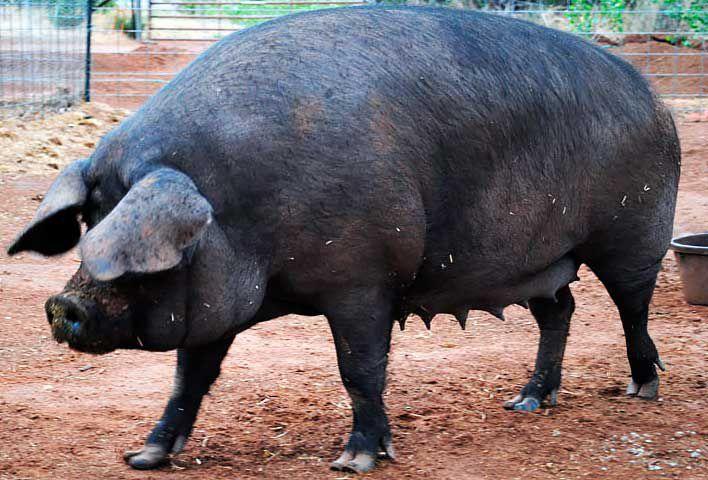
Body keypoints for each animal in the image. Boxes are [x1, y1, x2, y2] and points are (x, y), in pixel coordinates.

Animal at [7, 5, 680, 474]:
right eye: (91, 221)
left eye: (131, 245)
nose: (62, 304)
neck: (245, 211)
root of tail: (655, 97)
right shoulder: (217, 303)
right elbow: (189, 378)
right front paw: (144, 457)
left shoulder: (364, 280)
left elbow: (360, 369)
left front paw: (354, 462)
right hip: (540, 260)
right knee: (560, 310)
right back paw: (526, 403)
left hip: (635, 230)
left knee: (632, 307)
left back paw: (642, 389)